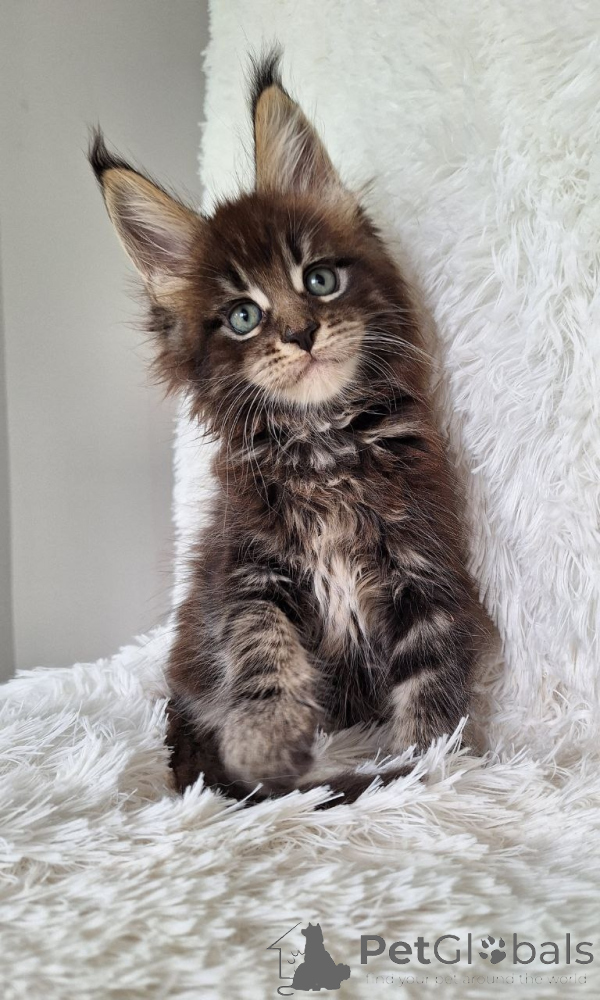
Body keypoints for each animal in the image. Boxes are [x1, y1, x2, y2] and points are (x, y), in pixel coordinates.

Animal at [90, 52, 493, 805]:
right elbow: (262, 648)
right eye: (243, 316)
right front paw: (264, 745)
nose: (303, 334)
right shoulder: (246, 567)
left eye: (320, 279)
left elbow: (431, 682)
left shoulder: (425, 563)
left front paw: (422, 761)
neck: (324, 445)